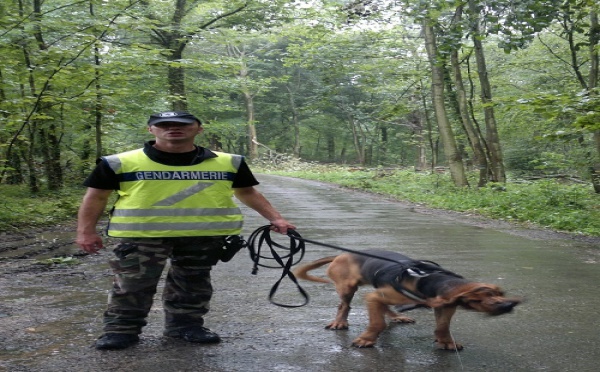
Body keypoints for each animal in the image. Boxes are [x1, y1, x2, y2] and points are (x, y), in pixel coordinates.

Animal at [294, 250, 520, 348]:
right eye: (483, 297)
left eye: (500, 293)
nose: (510, 304)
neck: (430, 279)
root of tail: (342, 254)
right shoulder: (373, 296)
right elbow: (377, 323)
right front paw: (366, 339)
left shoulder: (446, 306)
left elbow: (443, 326)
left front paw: (446, 341)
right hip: (348, 288)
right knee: (344, 305)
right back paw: (340, 322)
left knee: (384, 307)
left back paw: (397, 317)